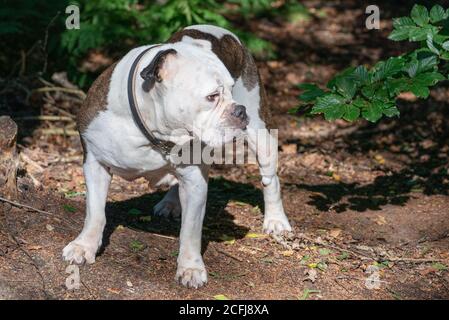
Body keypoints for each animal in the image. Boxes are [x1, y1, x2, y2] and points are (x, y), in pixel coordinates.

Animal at [64, 25, 290, 288]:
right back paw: (171, 202)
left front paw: (190, 268)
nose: (239, 110)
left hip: (262, 135)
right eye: (212, 96)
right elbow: (95, 212)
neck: (151, 130)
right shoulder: (95, 163)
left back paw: (276, 220)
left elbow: (190, 231)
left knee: (270, 180)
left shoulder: (195, 182)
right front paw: (84, 245)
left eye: (231, 89)